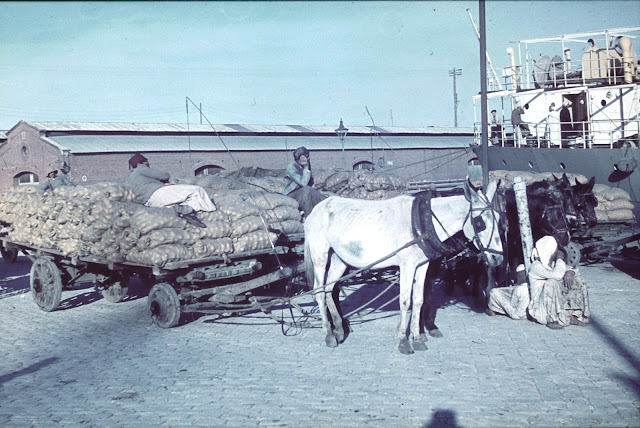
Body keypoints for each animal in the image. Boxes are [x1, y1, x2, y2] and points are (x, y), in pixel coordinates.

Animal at [304, 178, 504, 354]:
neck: (423, 223)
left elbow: (419, 300)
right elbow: (406, 301)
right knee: (319, 291)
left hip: (339, 259)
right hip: (320, 254)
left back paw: (338, 329)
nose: (498, 258)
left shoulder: (422, 265)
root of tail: (316, 209)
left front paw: (417, 338)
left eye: (499, 218)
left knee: (329, 289)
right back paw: (329, 334)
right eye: (480, 223)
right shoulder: (407, 265)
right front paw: (403, 341)